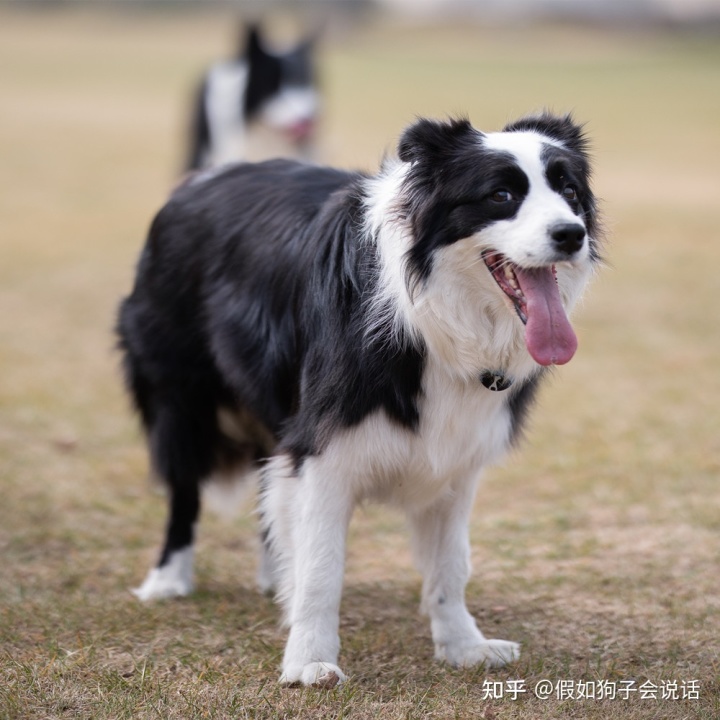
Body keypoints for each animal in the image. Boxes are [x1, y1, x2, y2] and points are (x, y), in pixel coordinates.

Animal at [119, 111, 600, 688]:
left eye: (569, 191)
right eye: (501, 195)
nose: (571, 234)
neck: (432, 314)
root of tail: (197, 181)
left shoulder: (458, 459)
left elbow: (451, 563)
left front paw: (463, 646)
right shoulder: (324, 447)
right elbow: (323, 566)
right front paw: (309, 660)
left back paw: (273, 576)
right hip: (180, 394)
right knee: (185, 490)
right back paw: (169, 580)